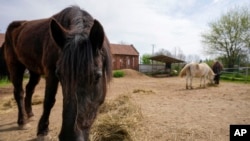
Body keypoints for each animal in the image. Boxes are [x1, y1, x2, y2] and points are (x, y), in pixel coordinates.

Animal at [0, 6, 111, 140]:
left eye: (97, 77)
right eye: (59, 74)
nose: (70, 136)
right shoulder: (51, 73)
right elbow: (49, 100)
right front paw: (43, 130)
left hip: (34, 70)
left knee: (29, 89)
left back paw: (30, 114)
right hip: (15, 66)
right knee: (19, 92)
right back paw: (23, 122)